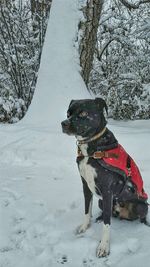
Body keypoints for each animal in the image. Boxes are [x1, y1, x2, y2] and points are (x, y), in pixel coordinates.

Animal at [61, 98, 149, 258]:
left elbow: (107, 225)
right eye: (68, 114)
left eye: (83, 113)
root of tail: (123, 214)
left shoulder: (107, 191)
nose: (63, 123)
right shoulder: (86, 185)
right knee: (107, 213)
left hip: (141, 206)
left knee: (138, 216)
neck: (91, 150)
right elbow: (87, 210)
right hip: (101, 202)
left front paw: (104, 247)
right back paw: (99, 217)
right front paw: (85, 227)